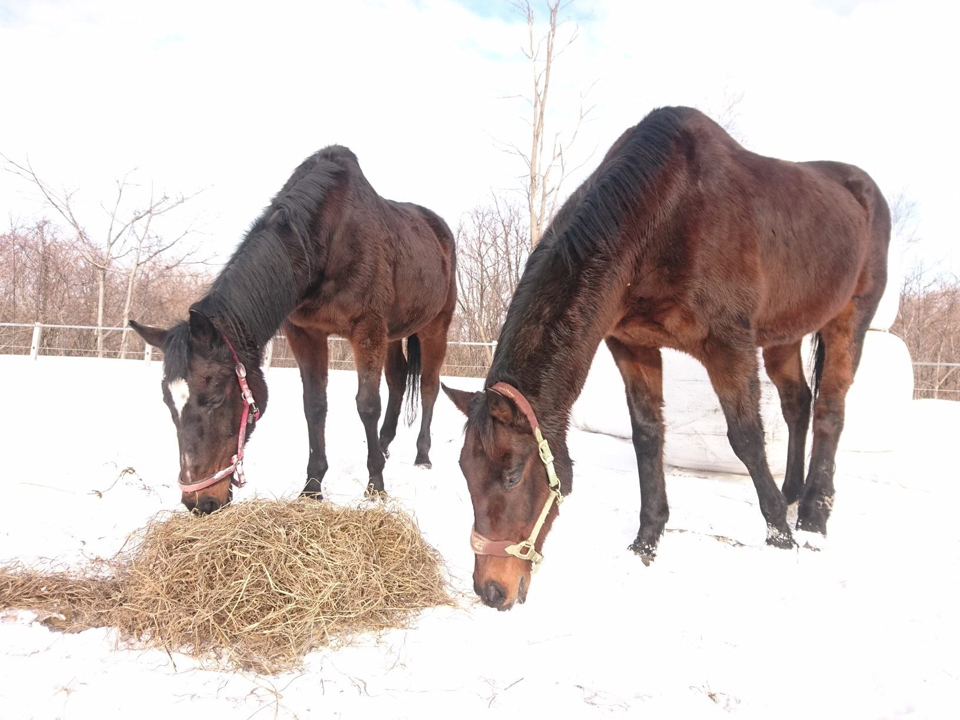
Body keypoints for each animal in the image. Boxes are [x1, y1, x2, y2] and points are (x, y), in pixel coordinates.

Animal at [131, 146, 458, 516]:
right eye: (168, 403)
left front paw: (376, 486)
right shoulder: (307, 333)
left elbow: (367, 405)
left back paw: (422, 456)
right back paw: (385, 446)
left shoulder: (367, 329)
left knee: (429, 387)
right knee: (399, 380)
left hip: (435, 327)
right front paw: (312, 488)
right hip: (393, 334)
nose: (199, 503)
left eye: (214, 399)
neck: (325, 239)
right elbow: (314, 405)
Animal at [446, 107, 888, 612]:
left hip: (849, 319)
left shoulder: (728, 344)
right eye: (465, 472)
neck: (662, 213)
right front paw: (647, 539)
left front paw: (780, 535)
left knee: (830, 410)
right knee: (798, 403)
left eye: (514, 475)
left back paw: (812, 516)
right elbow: (647, 436)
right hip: (784, 337)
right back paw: (793, 493)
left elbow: (746, 438)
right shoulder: (632, 345)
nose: (491, 591)